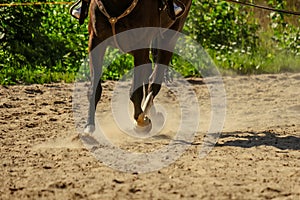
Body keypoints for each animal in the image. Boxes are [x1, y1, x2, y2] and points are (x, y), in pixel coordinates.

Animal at [84, 0, 192, 134]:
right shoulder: (95, 41)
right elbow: (94, 88)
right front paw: (89, 125)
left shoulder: (140, 45)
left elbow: (135, 90)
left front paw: (141, 121)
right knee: (148, 69)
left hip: (171, 33)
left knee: (155, 78)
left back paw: (146, 112)